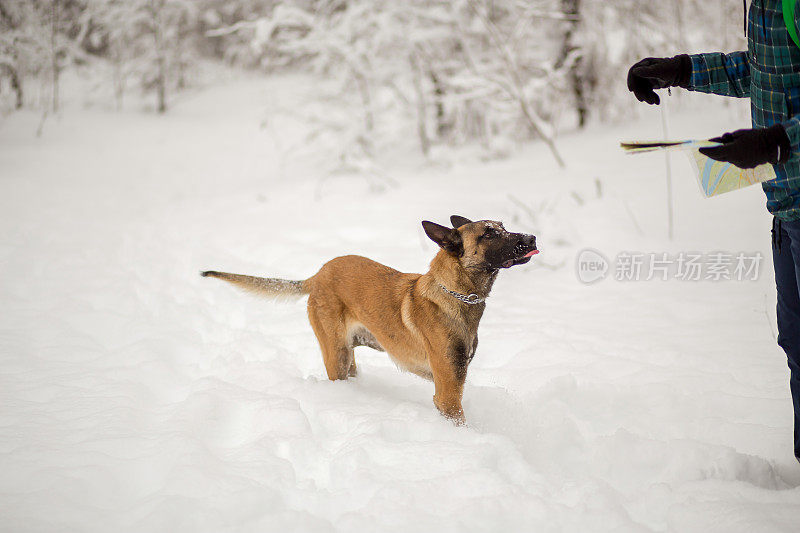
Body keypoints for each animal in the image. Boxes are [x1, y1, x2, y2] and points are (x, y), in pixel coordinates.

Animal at [200, 214, 536, 422]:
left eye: (503, 225)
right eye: (489, 233)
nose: (532, 238)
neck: (455, 292)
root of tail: (317, 275)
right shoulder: (448, 393)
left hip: (349, 357)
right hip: (336, 355)